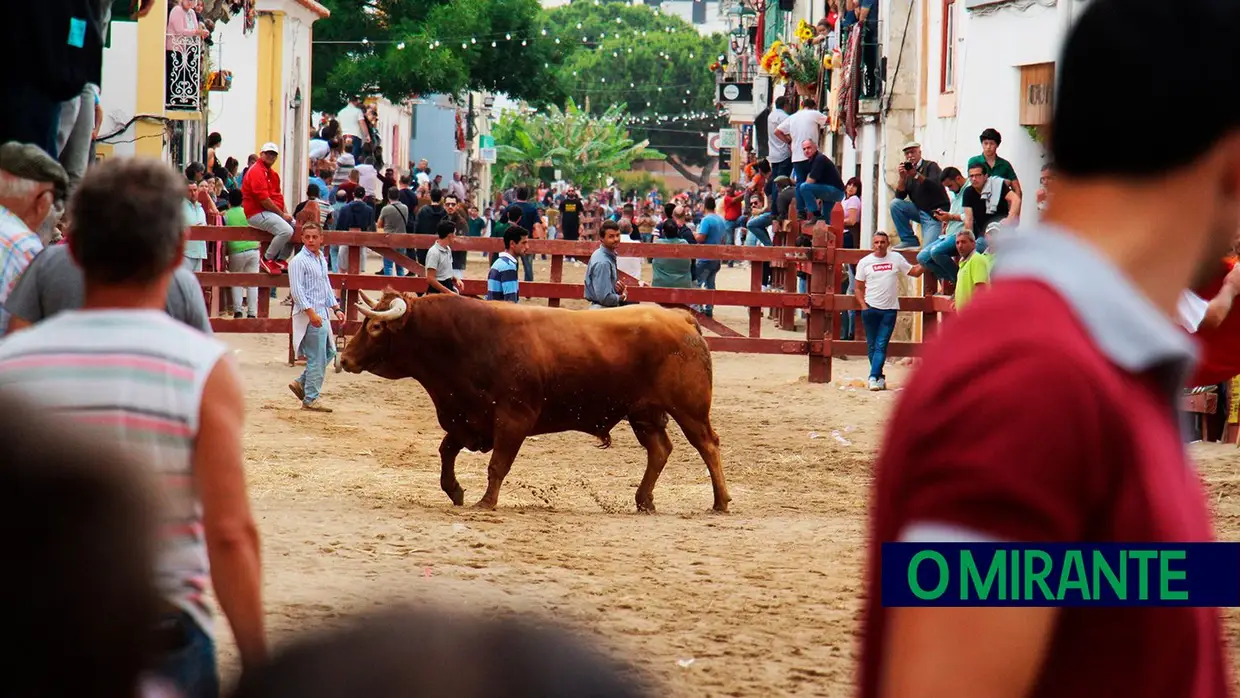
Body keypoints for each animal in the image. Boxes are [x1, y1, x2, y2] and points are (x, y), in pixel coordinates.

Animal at [334, 290, 729, 513]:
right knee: (659, 450)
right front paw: (455, 490)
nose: (345, 358)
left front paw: (485, 502)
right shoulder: (467, 417)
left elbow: (497, 464)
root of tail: (681, 318)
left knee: (707, 445)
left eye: (375, 327)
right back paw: (644, 500)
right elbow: (446, 451)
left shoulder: (513, 419)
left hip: (689, 409)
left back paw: (720, 502)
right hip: (643, 413)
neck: (466, 341)